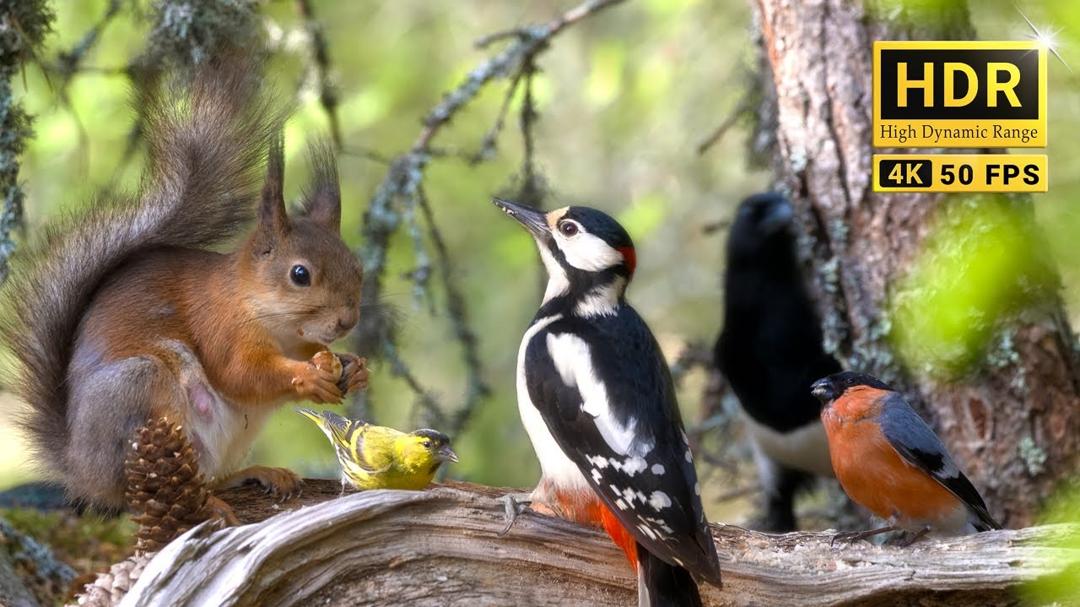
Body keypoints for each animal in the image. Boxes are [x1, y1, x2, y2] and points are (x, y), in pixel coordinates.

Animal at [0, 56, 368, 516]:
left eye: (357, 267)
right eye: (300, 275)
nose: (347, 320)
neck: (267, 315)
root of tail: (81, 471)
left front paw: (352, 366)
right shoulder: (219, 326)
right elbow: (241, 373)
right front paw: (308, 377)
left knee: (211, 475)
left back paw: (254, 474)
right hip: (140, 391)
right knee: (140, 493)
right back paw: (206, 502)